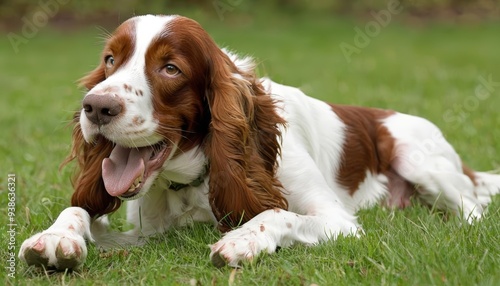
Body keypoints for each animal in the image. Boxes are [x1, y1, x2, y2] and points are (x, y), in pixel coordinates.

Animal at [19, 15, 500, 270]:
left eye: (171, 68)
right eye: (110, 60)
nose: (95, 107)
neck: (195, 179)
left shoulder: (339, 220)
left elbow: (276, 213)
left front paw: (242, 240)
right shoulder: (147, 236)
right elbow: (80, 210)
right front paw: (54, 238)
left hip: (418, 157)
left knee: (473, 209)